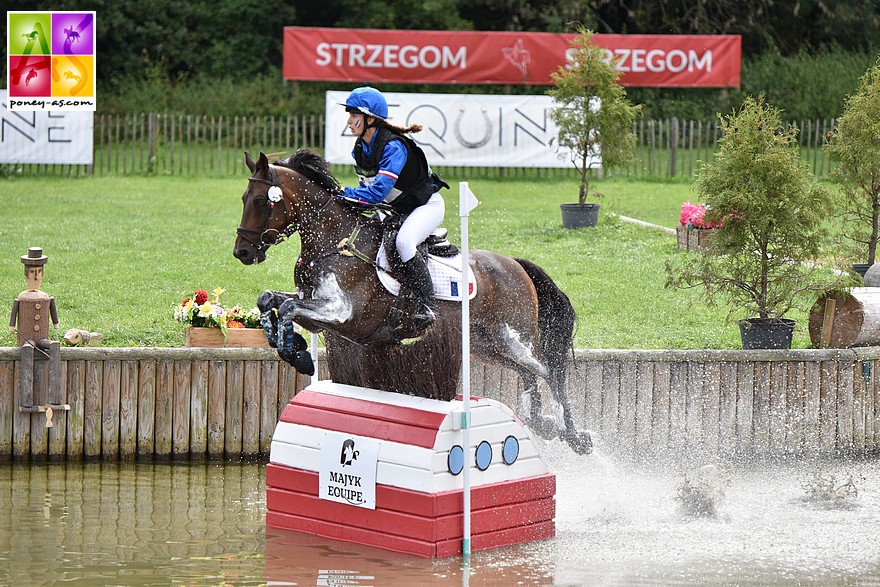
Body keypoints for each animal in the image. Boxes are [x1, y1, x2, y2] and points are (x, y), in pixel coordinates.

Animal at [234, 148, 592, 454]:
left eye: (260, 201)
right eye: (243, 199)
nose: (243, 252)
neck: (335, 242)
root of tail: (515, 265)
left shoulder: (343, 314)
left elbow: (287, 307)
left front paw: (299, 355)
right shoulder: (317, 310)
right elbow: (270, 301)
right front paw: (295, 350)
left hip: (512, 339)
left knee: (550, 372)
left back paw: (573, 434)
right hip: (487, 346)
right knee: (531, 374)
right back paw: (543, 422)